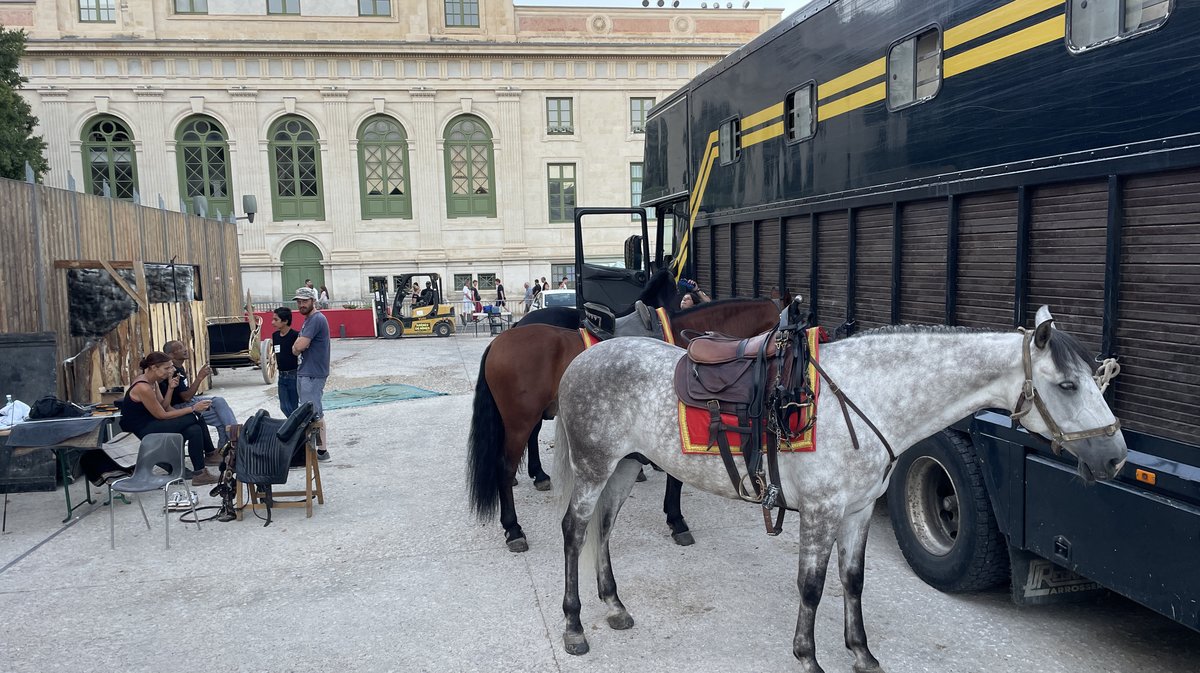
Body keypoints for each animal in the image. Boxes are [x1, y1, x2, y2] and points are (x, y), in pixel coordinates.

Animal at [463, 298, 782, 551]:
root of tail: (499, 340)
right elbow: (676, 479)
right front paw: (677, 520)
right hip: (520, 421)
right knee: (505, 469)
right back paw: (513, 528)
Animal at [552, 307, 1123, 671]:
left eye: (1098, 379)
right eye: (1067, 385)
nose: (1115, 456)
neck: (869, 396)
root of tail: (582, 357)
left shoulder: (858, 511)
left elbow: (852, 580)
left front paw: (861, 653)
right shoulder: (821, 512)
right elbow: (811, 585)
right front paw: (808, 657)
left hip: (624, 468)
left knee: (604, 527)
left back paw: (614, 605)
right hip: (594, 466)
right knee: (575, 530)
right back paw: (576, 626)